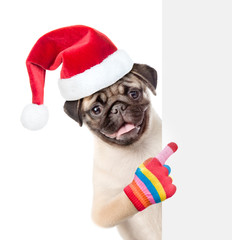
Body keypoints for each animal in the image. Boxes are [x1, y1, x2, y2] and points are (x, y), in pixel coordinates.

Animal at [63, 62, 161, 239]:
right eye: (96, 110)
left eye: (134, 94)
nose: (118, 107)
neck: (134, 149)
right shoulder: (102, 210)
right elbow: (121, 203)